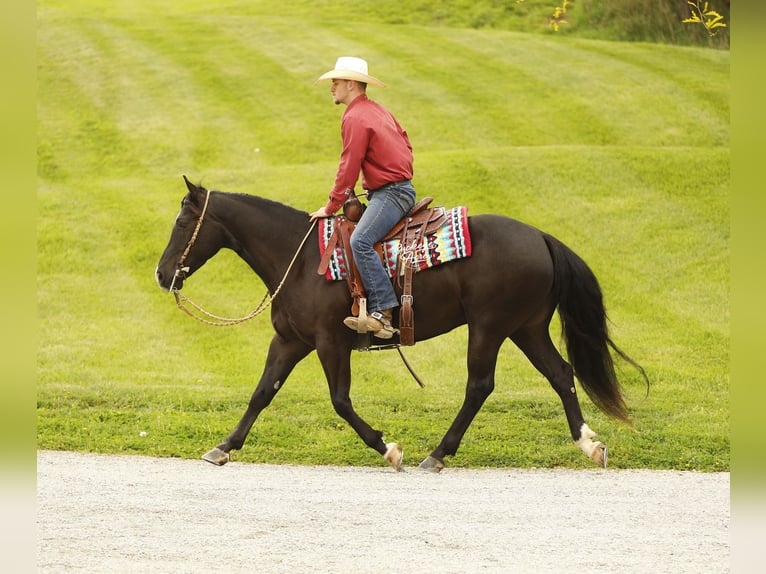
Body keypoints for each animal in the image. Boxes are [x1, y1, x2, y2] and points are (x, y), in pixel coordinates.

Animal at [155, 176, 648, 472]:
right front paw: (223, 447)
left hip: (489, 327)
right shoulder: (290, 341)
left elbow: (340, 401)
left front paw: (388, 448)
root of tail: (541, 237)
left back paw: (438, 453)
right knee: (561, 374)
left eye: (181, 221)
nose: (162, 274)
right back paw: (589, 444)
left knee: (480, 386)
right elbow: (262, 393)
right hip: (526, 328)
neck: (302, 259)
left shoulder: (330, 341)